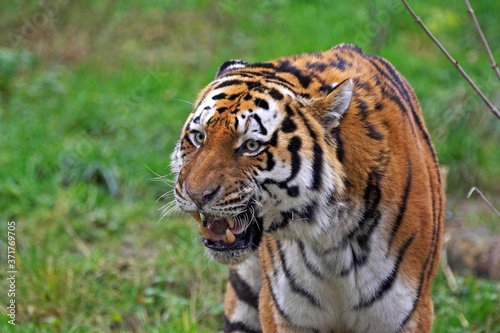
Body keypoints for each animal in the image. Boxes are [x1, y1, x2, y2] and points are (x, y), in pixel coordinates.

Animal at [171, 44, 446, 332]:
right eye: (199, 137)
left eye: (251, 146)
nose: (196, 195)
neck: (330, 242)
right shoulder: (283, 313)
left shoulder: (405, 314)